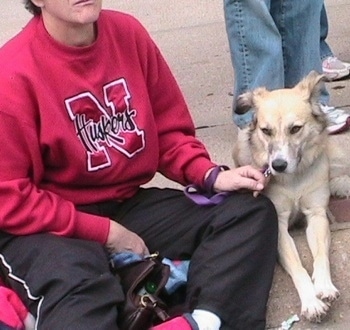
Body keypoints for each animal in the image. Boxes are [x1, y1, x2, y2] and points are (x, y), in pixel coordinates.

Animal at [232, 71, 350, 322]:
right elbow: (298, 267)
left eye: (295, 128)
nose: (277, 166)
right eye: (266, 131)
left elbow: (321, 256)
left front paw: (324, 285)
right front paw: (311, 302)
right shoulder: (279, 223)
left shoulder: (316, 215)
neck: (294, 179)